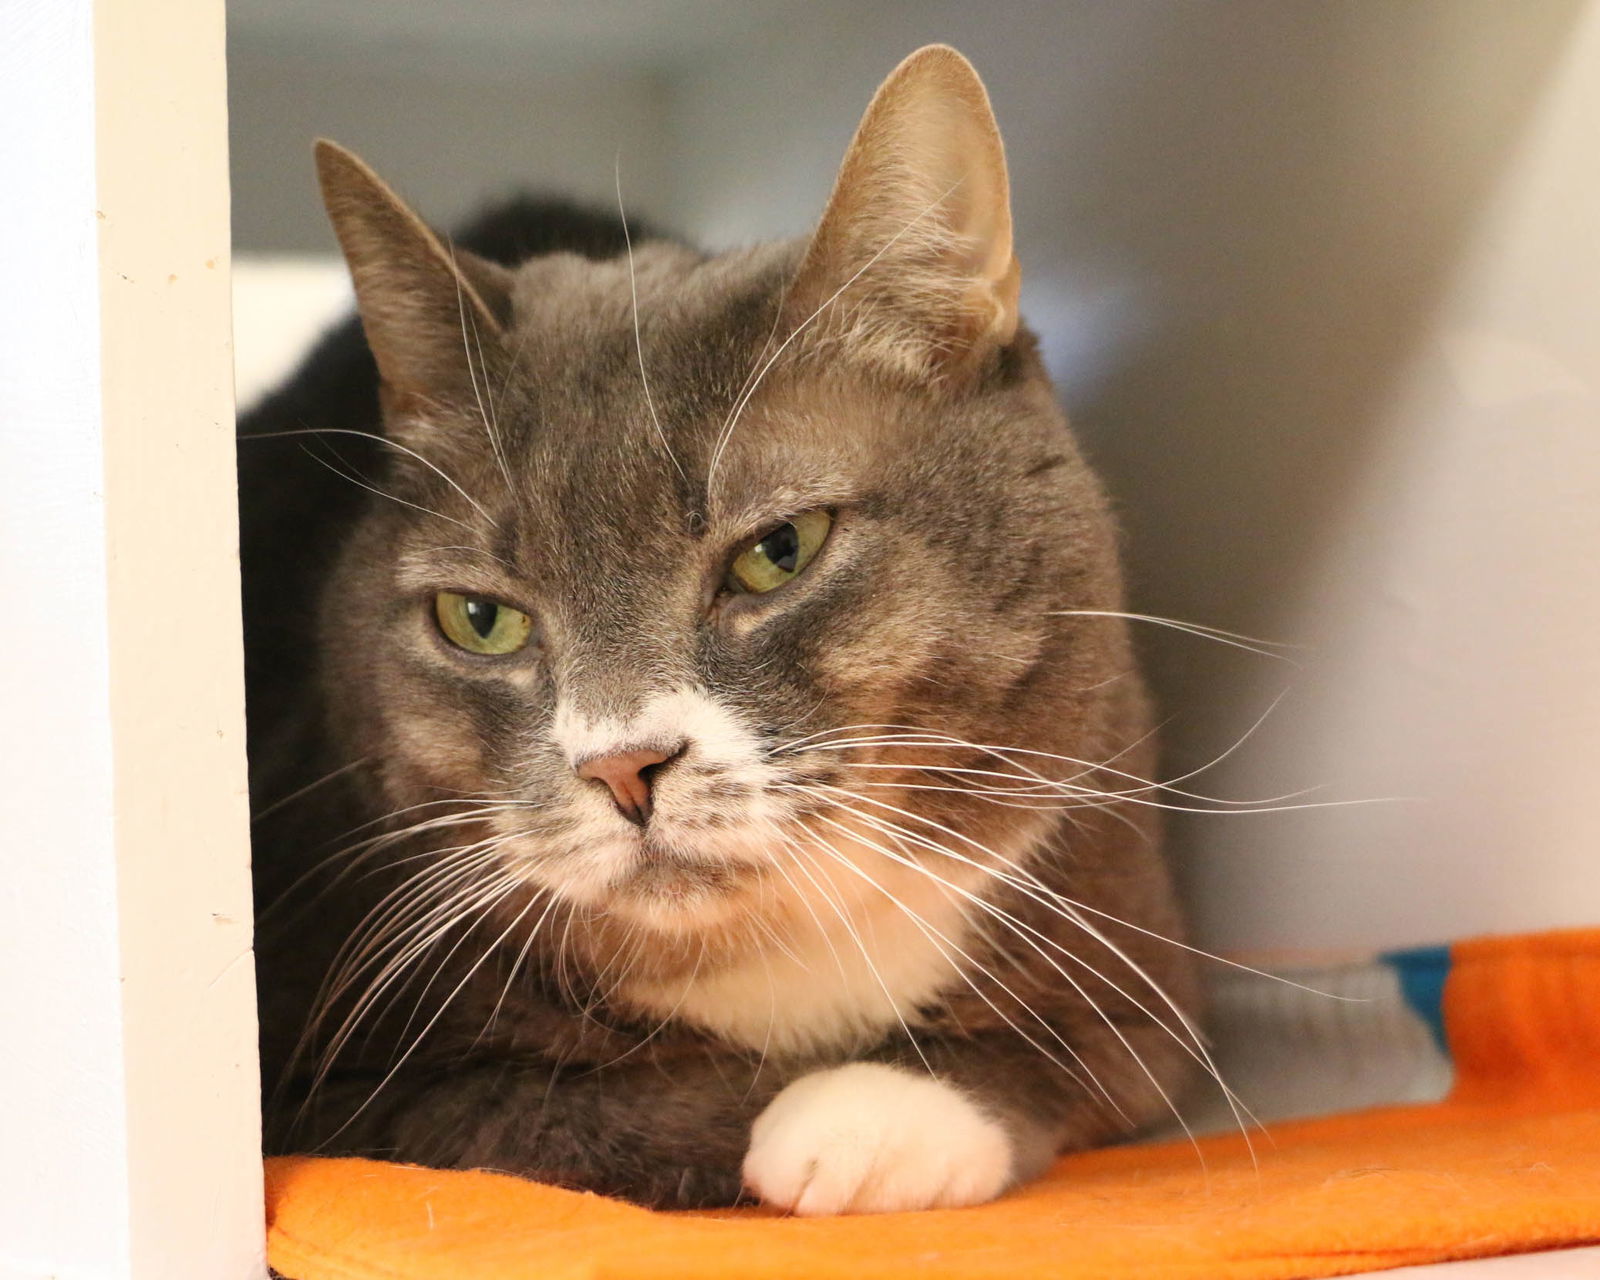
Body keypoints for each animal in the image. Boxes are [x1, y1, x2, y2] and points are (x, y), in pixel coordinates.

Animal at [243, 45, 1203, 1216]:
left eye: (778, 549)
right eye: (480, 619)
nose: (622, 765)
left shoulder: (1134, 929)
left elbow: (1095, 1042)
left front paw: (874, 1113)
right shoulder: (326, 1075)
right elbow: (563, 1107)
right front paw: (814, 1112)